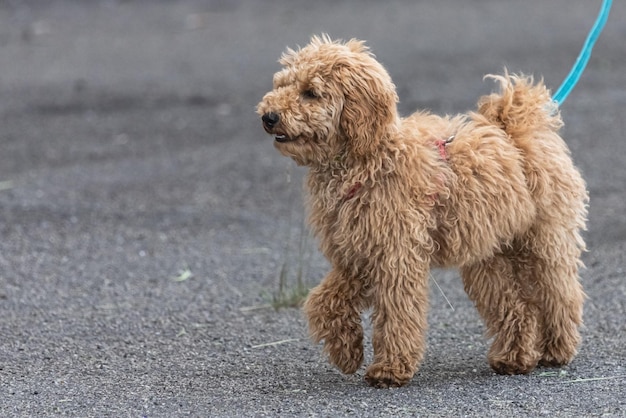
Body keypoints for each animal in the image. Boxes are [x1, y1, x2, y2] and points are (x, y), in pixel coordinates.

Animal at [255, 34, 584, 386]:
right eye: (282, 84)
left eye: (310, 92)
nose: (268, 116)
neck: (370, 160)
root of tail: (518, 130)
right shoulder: (356, 253)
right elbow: (323, 301)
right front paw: (346, 352)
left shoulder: (396, 254)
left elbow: (398, 312)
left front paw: (390, 369)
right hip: (489, 253)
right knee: (516, 307)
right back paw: (513, 358)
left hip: (543, 240)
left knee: (560, 294)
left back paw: (556, 349)